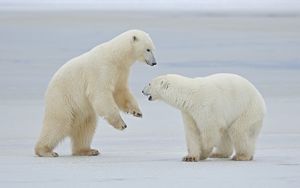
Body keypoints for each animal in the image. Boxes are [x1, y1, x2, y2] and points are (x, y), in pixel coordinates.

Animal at [35, 29, 157, 157]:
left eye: (152, 49)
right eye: (148, 49)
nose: (154, 63)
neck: (115, 56)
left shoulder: (121, 71)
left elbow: (120, 91)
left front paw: (137, 112)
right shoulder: (101, 70)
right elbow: (100, 94)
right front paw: (121, 124)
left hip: (80, 109)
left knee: (86, 126)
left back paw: (87, 150)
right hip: (62, 98)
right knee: (58, 123)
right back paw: (45, 151)